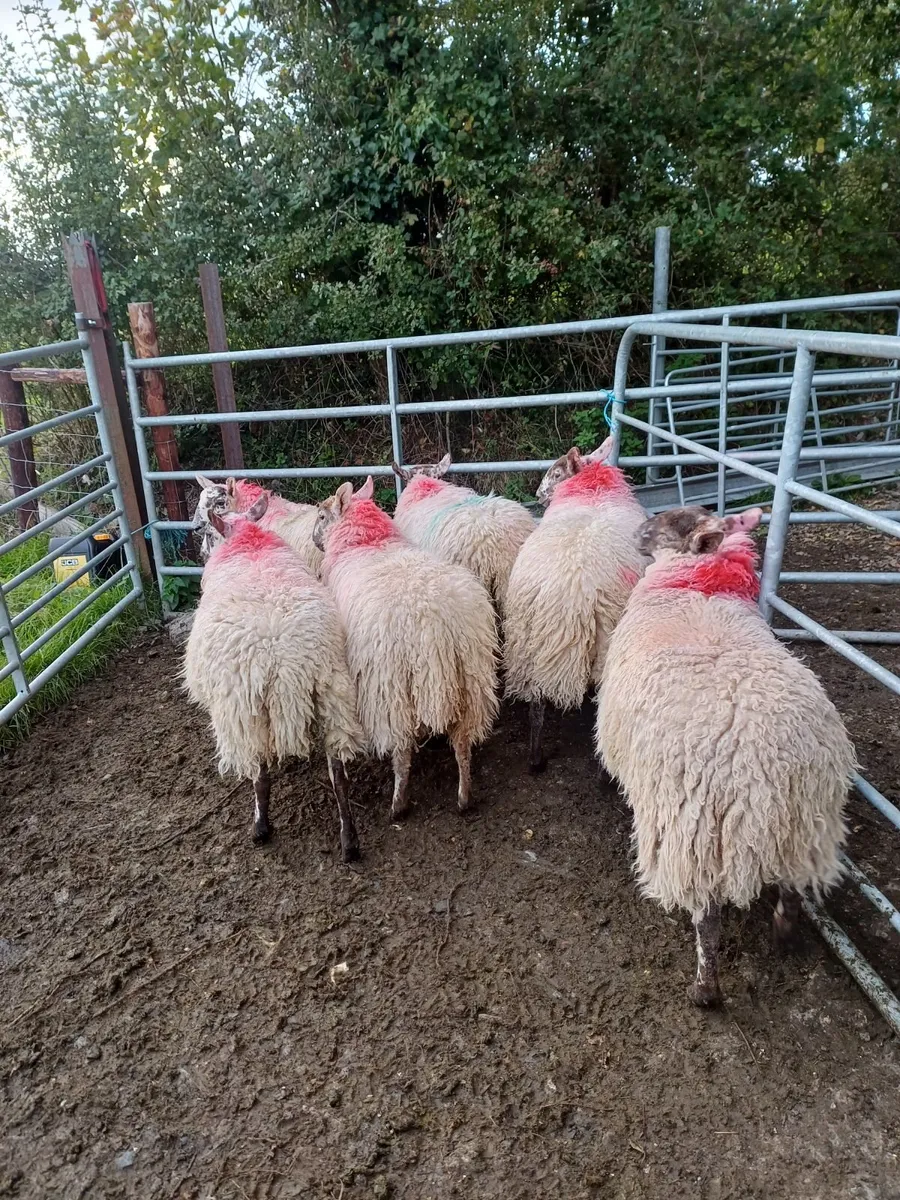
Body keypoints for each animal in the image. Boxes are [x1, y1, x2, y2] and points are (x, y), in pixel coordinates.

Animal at [184, 488, 367, 861]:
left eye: (208, 533)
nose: (200, 554)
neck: (248, 540)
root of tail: (282, 659)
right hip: (332, 691)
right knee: (338, 774)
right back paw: (349, 840)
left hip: (244, 709)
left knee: (259, 772)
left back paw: (260, 827)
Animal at [312, 476, 499, 818]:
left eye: (321, 515)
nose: (315, 540)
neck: (369, 541)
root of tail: (433, 623)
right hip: (471, 679)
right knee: (463, 743)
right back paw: (464, 797)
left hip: (390, 687)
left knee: (401, 748)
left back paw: (398, 804)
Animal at [503, 436, 647, 771]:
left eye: (556, 473)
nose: (538, 495)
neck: (592, 490)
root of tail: (569, 594)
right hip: (606, 643)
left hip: (528, 641)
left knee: (536, 705)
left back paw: (535, 760)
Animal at [596, 505, 854, 1007]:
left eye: (671, 523)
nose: (636, 532)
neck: (695, 586)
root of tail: (766, 769)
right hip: (806, 825)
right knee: (793, 888)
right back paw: (783, 933)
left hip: (696, 832)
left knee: (708, 918)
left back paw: (705, 990)